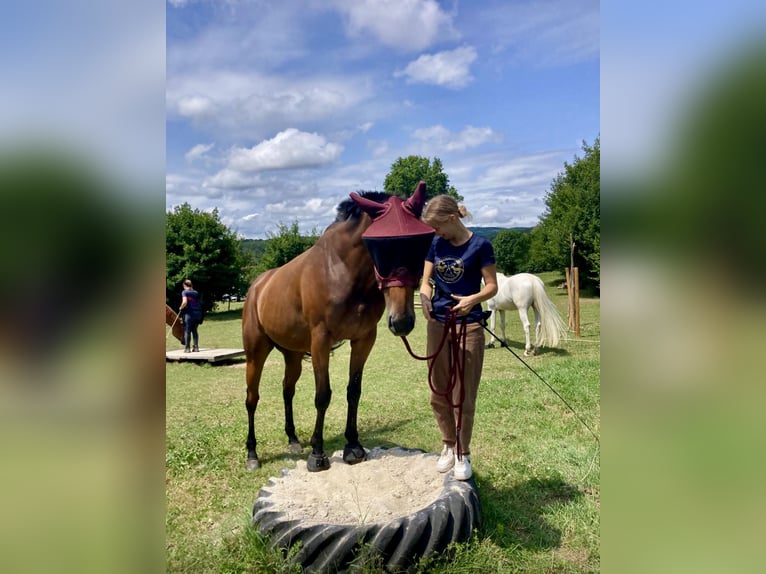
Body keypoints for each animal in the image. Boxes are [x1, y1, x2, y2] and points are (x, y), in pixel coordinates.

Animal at [243, 183, 436, 472]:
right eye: (380, 248)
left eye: (418, 245)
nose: (402, 321)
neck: (342, 271)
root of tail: (257, 286)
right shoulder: (321, 341)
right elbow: (323, 395)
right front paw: (318, 454)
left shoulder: (364, 339)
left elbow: (353, 391)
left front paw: (353, 446)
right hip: (256, 353)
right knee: (252, 398)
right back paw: (252, 454)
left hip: (293, 355)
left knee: (287, 390)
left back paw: (293, 439)